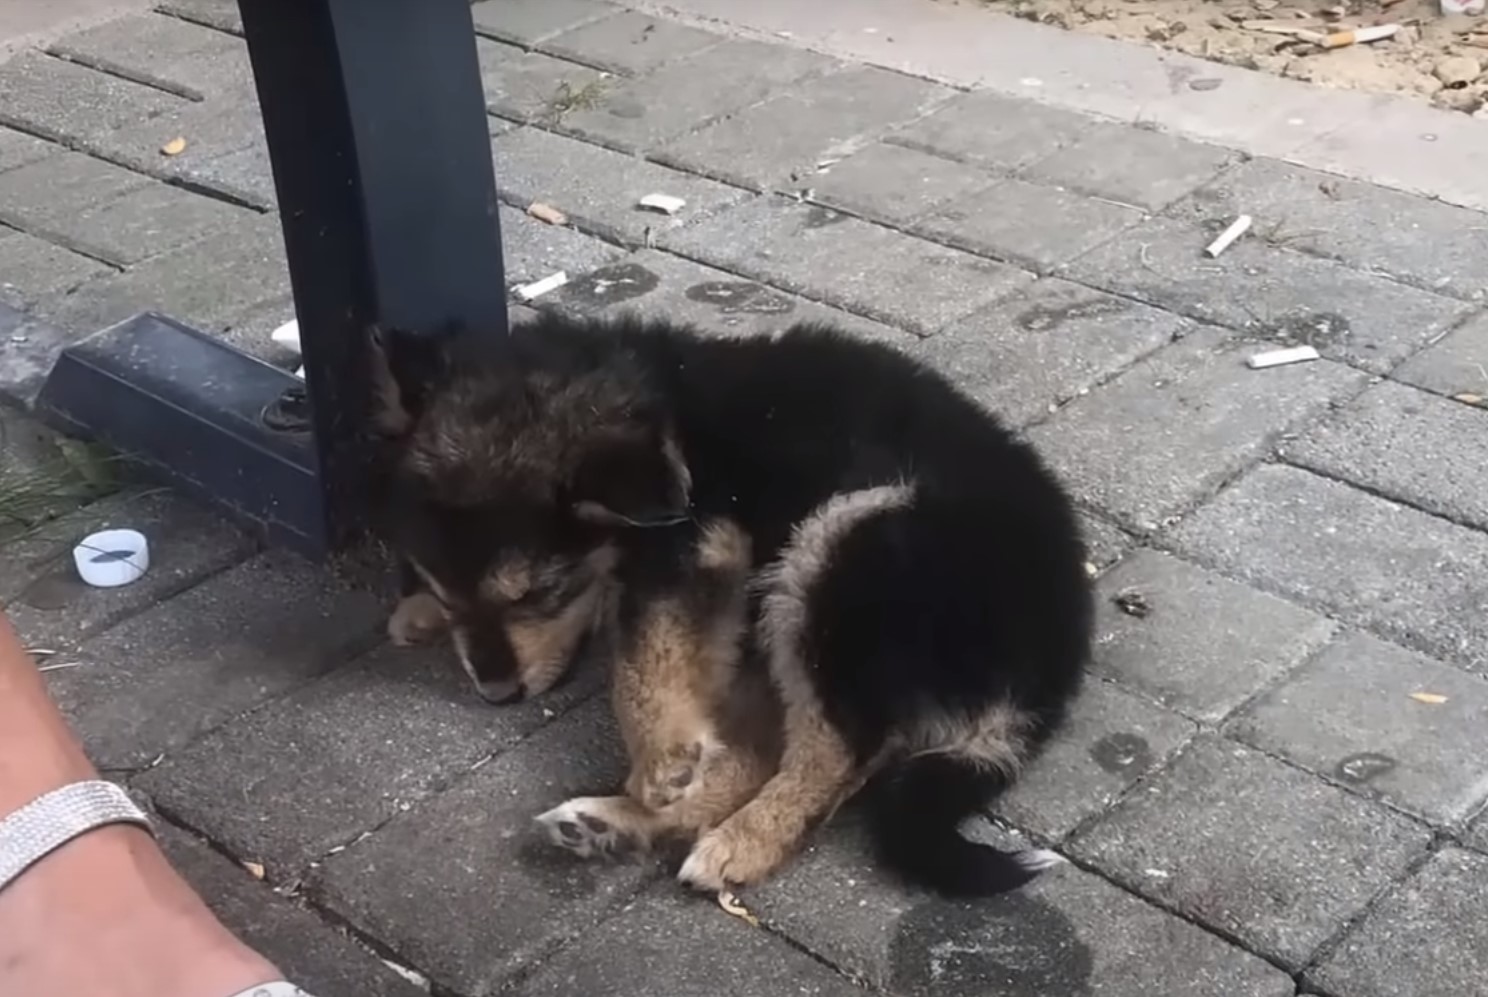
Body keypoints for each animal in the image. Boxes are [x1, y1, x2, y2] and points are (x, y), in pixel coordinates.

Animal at [366, 316, 1095, 904]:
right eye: (443, 586)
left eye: (541, 591)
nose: (496, 695)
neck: (668, 410)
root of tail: (1052, 666)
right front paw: (419, 613)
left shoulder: (703, 539)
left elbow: (642, 652)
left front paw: (662, 757)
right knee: (763, 753)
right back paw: (611, 824)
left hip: (842, 544)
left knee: (836, 752)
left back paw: (740, 841)